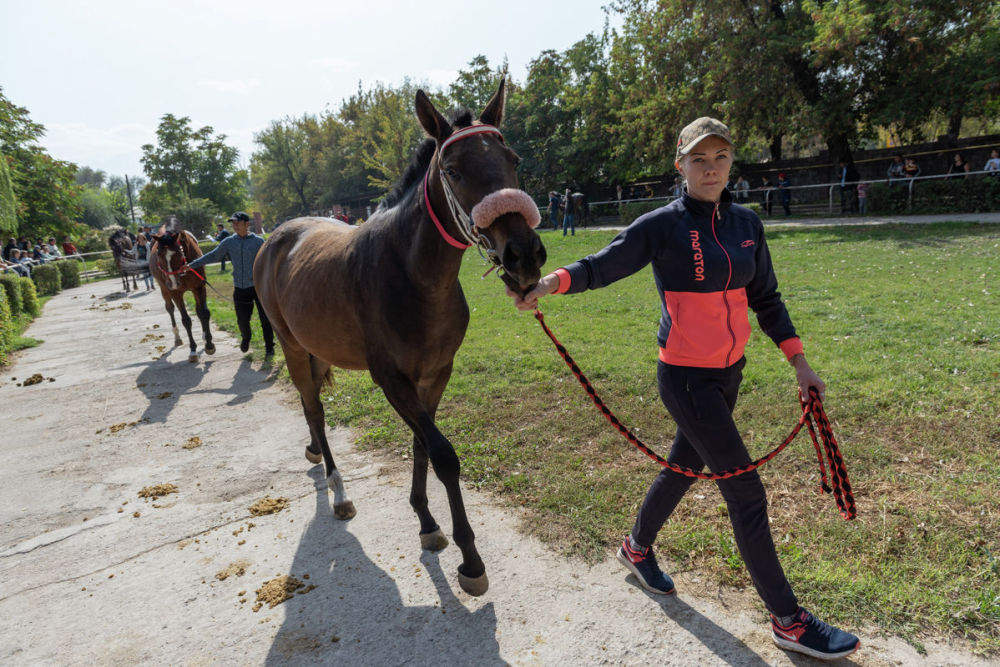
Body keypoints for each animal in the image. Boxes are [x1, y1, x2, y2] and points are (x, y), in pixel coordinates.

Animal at [149, 218, 216, 366]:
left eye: (178, 254)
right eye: (159, 255)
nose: (173, 283)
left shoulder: (199, 287)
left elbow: (204, 313)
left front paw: (209, 345)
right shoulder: (176, 293)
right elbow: (186, 320)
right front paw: (193, 350)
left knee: (198, 311)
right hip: (164, 289)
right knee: (170, 308)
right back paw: (177, 337)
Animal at [254, 81, 544, 596]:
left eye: (513, 159)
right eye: (453, 170)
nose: (524, 255)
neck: (413, 277)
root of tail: (277, 235)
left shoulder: (435, 374)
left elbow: (422, 445)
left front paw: (427, 522)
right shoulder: (391, 379)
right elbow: (443, 454)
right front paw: (470, 560)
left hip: (315, 350)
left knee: (313, 411)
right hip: (291, 347)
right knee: (315, 409)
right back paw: (338, 490)